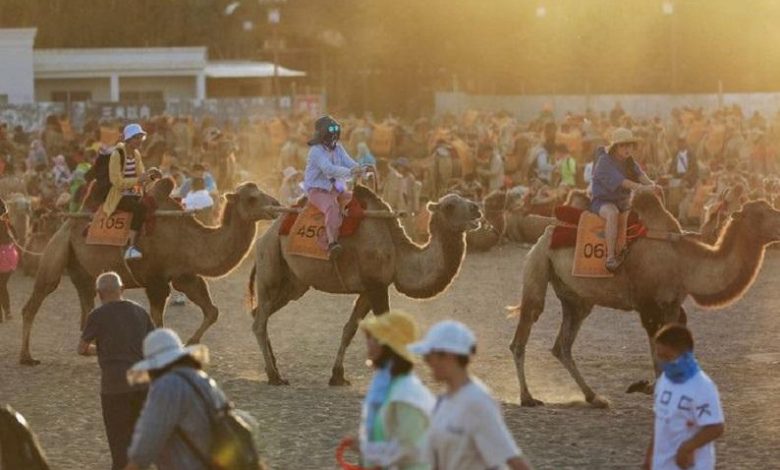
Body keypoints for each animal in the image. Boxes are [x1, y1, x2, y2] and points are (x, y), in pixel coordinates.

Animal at [16, 179, 280, 364]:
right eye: (252, 198)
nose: (276, 205)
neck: (188, 238)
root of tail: (66, 221)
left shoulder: (185, 276)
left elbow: (212, 311)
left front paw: (190, 343)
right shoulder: (156, 280)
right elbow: (157, 321)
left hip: (81, 270)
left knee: (86, 301)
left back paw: (89, 350)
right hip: (56, 252)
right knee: (36, 299)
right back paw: (26, 357)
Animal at [248, 186, 482, 386]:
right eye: (450, 205)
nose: (477, 209)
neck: (397, 252)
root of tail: (265, 235)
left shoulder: (370, 288)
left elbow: (349, 329)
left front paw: (337, 376)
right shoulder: (376, 285)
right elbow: (386, 329)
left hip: (294, 284)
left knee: (259, 313)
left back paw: (273, 367)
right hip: (270, 265)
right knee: (259, 321)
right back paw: (274, 376)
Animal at [506, 191, 780, 408]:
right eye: (761, 213)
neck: (684, 263)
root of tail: (545, 233)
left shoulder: (672, 305)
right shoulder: (647, 306)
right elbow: (657, 349)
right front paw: (649, 387)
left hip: (577, 299)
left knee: (562, 345)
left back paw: (594, 397)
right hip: (538, 265)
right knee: (525, 328)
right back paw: (527, 398)